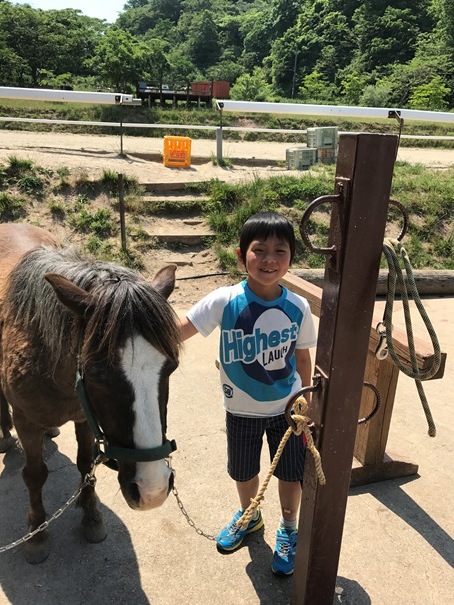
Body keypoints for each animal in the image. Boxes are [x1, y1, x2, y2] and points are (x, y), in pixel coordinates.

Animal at [0, 222, 181, 560]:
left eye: (171, 367)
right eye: (97, 374)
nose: (152, 490)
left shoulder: (85, 416)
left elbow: (85, 463)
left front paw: (91, 514)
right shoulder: (27, 422)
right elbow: (35, 475)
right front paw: (37, 532)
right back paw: (5, 435)